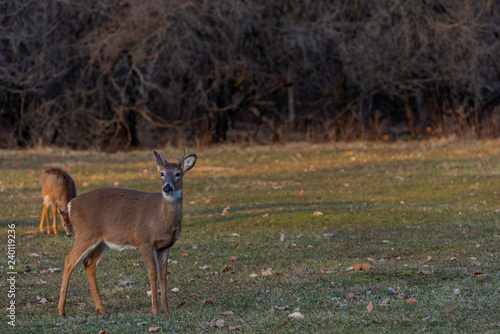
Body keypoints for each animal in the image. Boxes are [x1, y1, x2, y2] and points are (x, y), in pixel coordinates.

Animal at [58, 150, 197, 318]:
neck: (162, 218)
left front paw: (166, 310)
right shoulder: (144, 241)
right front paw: (155, 311)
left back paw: (101, 309)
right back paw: (61, 310)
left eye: (178, 173)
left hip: (103, 242)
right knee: (69, 260)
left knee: (89, 262)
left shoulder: (165, 246)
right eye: (161, 173)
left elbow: (164, 274)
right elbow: (152, 273)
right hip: (85, 234)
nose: (167, 188)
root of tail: (70, 204)